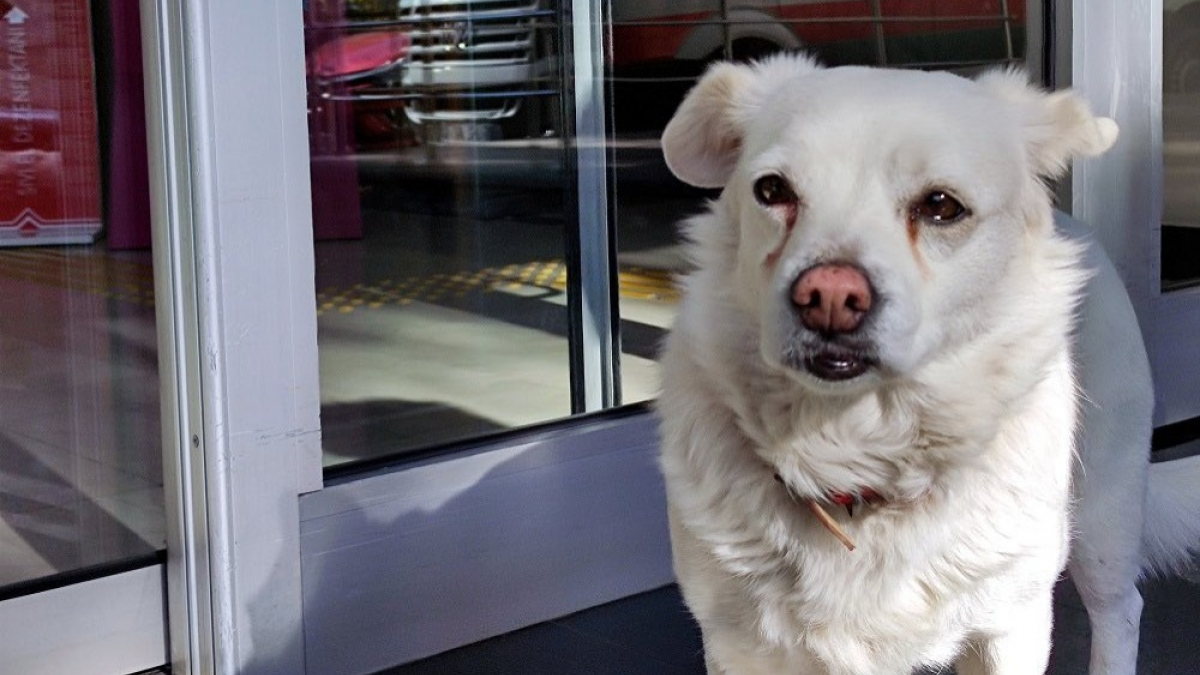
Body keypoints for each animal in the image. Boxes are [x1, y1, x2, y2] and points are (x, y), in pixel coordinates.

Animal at [662, 52, 1200, 672]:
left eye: (941, 205)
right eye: (772, 190)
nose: (828, 296)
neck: (859, 461)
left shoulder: (1011, 627)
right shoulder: (734, 642)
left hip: (1103, 513)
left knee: (1121, 610)